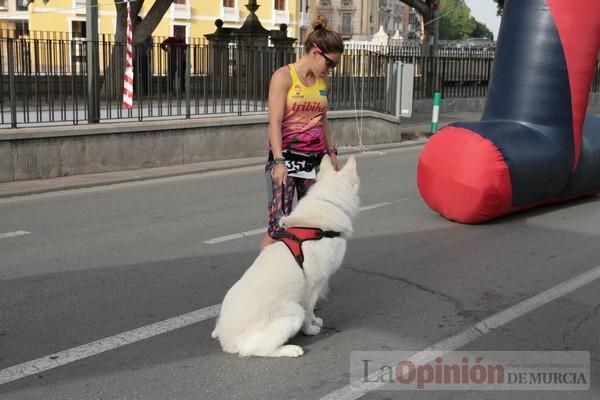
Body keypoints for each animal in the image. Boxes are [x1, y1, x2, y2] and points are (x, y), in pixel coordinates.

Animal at [212, 155, 360, 358]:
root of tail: (227, 341)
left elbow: (311, 311)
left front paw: (315, 320)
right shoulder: (314, 284)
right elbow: (308, 310)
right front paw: (310, 329)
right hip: (293, 312)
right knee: (259, 350)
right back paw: (290, 349)